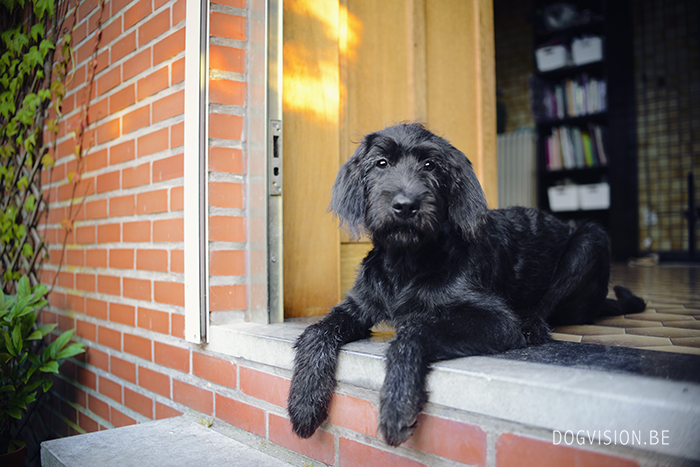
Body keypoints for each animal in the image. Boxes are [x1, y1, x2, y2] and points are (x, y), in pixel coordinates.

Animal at [286, 123, 644, 446]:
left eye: (430, 165)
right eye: (381, 163)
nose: (406, 205)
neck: (407, 261)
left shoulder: (496, 320)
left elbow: (415, 329)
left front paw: (398, 401)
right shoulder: (356, 307)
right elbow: (316, 331)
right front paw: (304, 401)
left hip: (590, 240)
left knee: (544, 311)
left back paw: (531, 325)